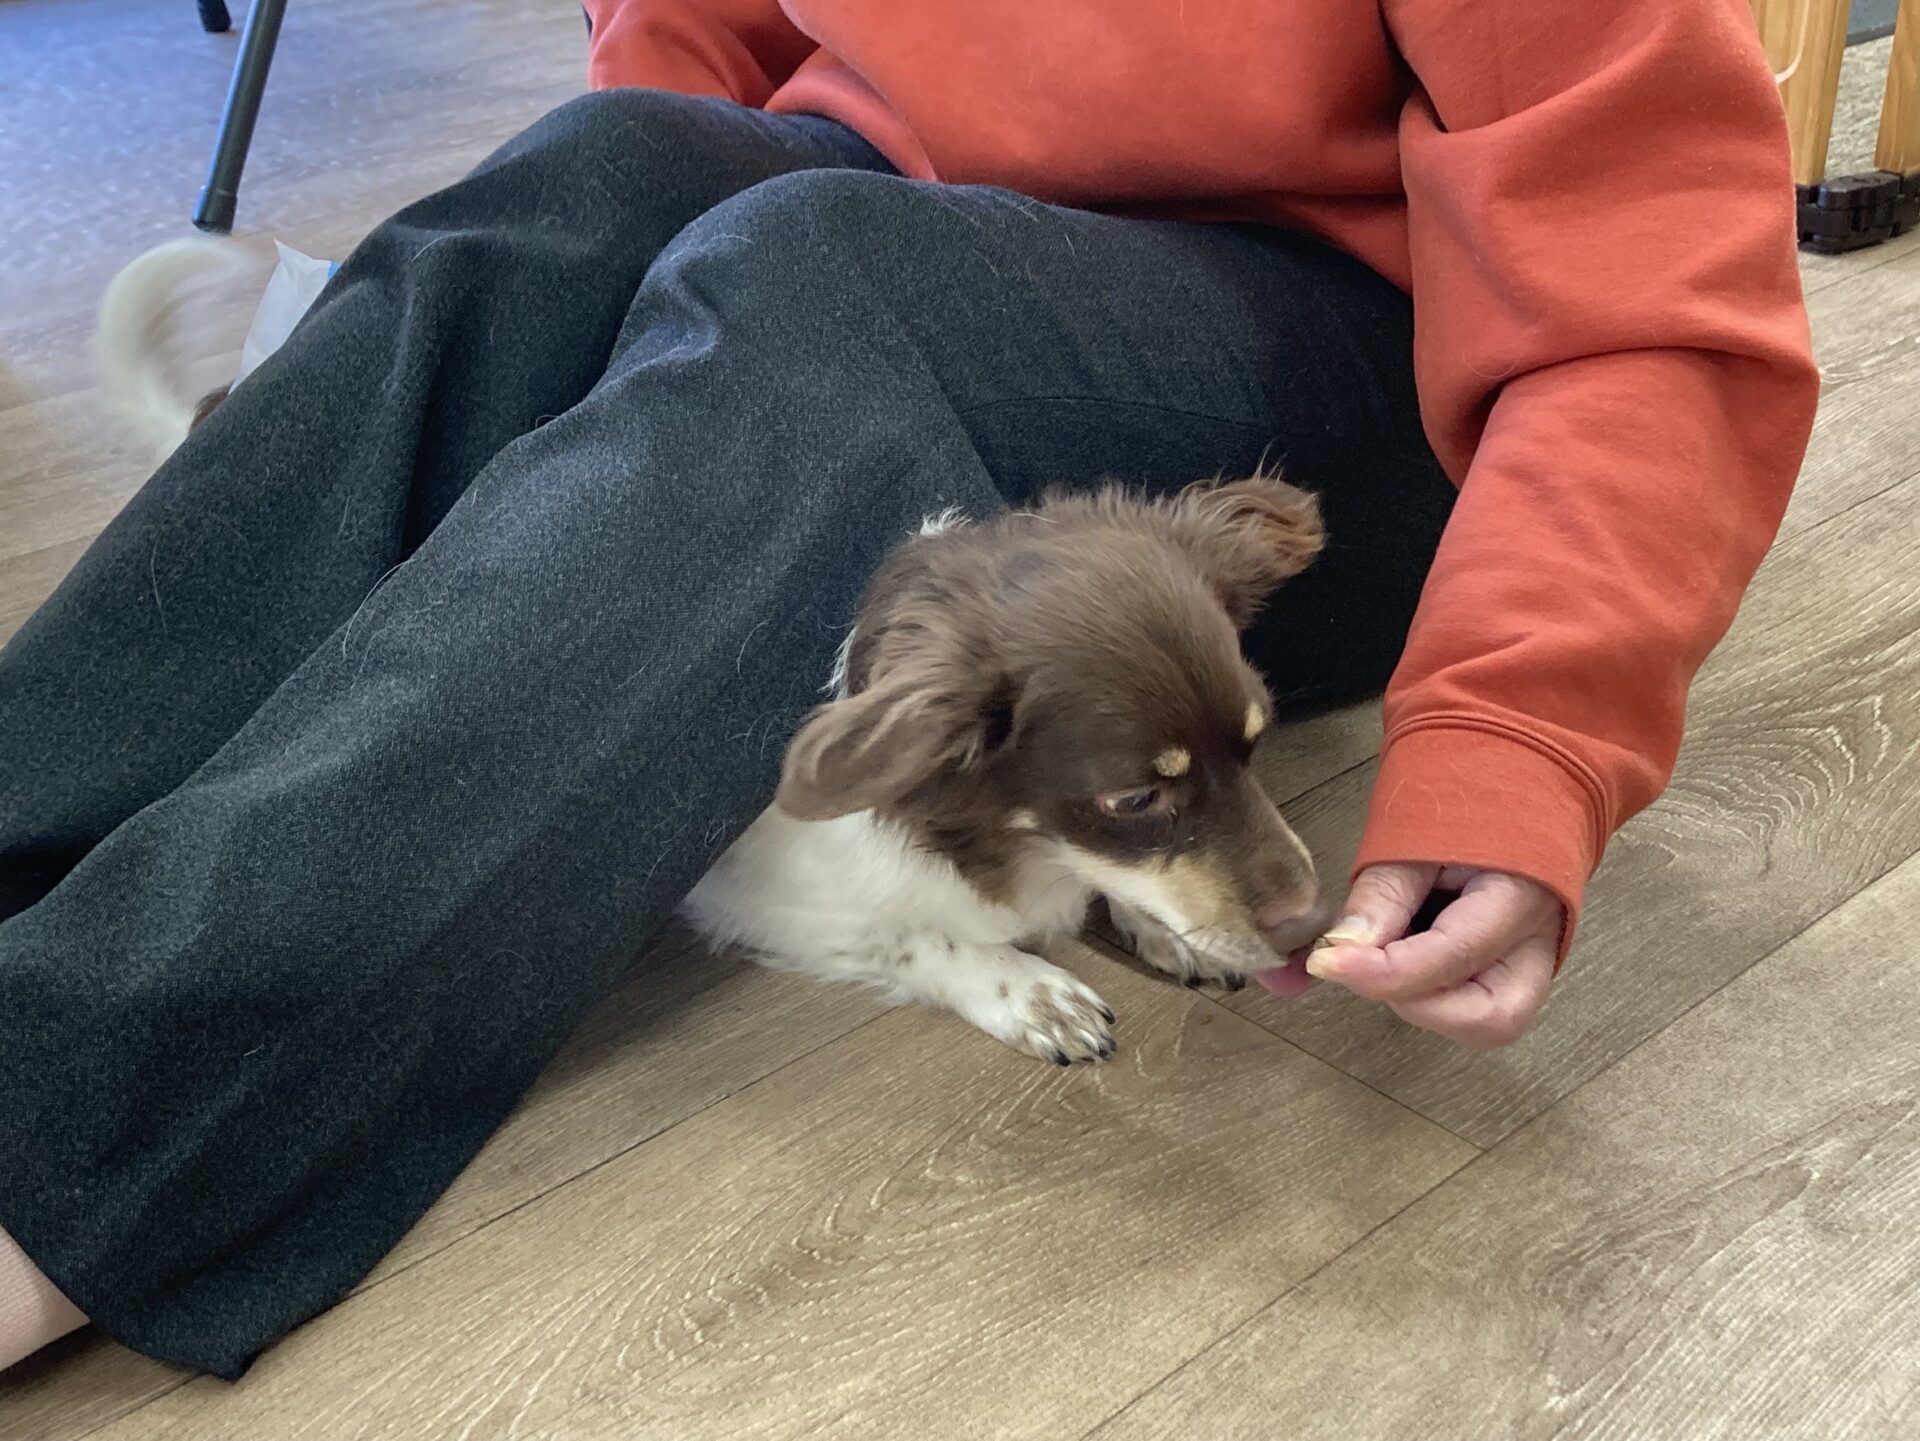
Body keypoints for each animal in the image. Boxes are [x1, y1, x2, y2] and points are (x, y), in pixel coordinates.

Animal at [96, 241, 1332, 1065]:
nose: (1312, 926)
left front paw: (1157, 924)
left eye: (1257, 743)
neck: (985, 844)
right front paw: (1030, 987)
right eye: (1135, 797)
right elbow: (927, 938)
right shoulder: (778, 900)